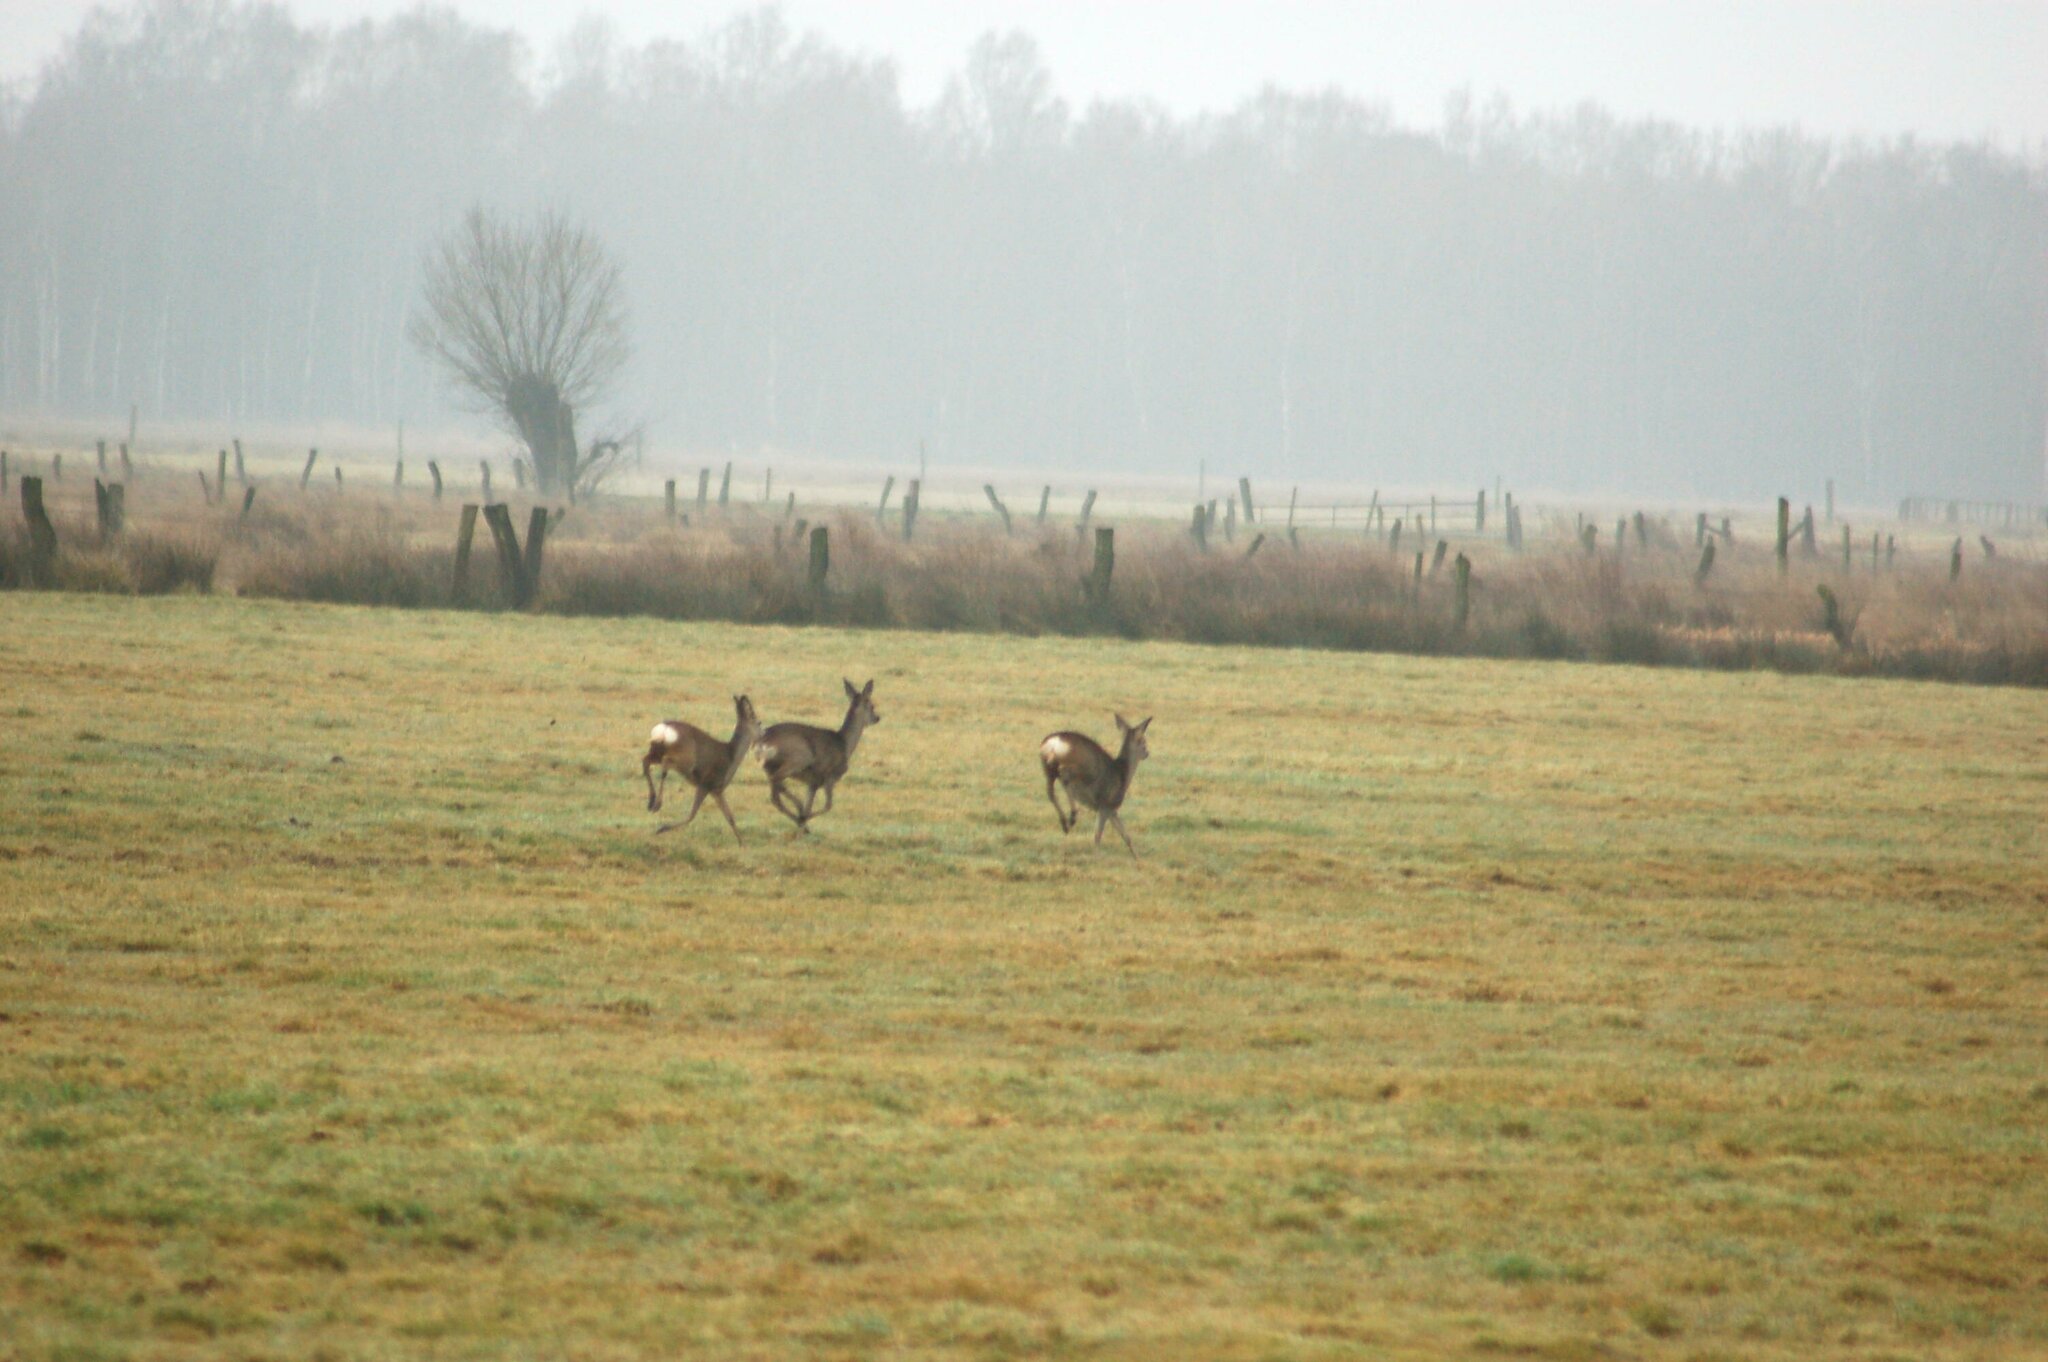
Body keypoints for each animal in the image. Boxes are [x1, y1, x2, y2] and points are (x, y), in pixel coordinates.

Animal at [642, 695, 763, 843]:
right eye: (759, 722)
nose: (764, 734)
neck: (731, 757)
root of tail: (664, 730)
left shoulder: (715, 789)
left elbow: (730, 817)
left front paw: (741, 843)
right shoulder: (707, 784)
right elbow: (692, 815)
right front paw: (661, 829)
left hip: (657, 751)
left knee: (645, 761)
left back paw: (651, 802)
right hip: (685, 759)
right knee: (665, 764)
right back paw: (657, 804)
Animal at [755, 679, 880, 833]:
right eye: (871, 705)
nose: (877, 718)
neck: (844, 744)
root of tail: (763, 741)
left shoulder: (812, 782)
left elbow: (810, 804)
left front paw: (802, 826)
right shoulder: (828, 776)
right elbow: (828, 805)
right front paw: (803, 822)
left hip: (769, 766)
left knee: (775, 793)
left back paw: (800, 817)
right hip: (801, 756)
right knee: (776, 783)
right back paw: (800, 815)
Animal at [1039, 713, 1151, 861]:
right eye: (1143, 741)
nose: (1147, 753)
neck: (1123, 775)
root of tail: (1053, 743)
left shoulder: (1111, 809)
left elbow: (1125, 835)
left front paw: (1137, 858)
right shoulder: (1106, 804)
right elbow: (1097, 835)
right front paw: (1098, 857)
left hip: (1047, 767)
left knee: (1050, 792)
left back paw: (1065, 823)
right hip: (1078, 766)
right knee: (1065, 777)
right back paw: (1072, 816)